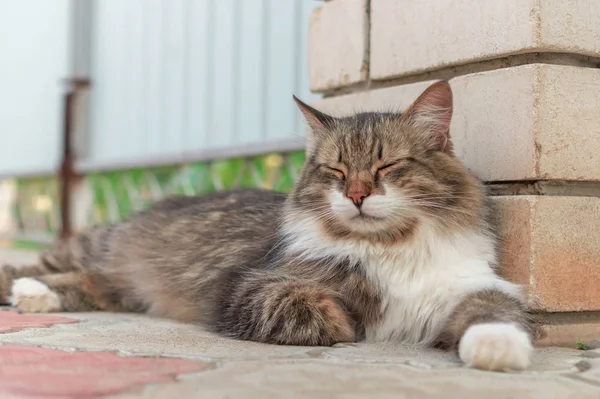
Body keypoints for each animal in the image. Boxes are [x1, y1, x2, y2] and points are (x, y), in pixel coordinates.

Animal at [0, 81, 536, 372]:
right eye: (336, 170)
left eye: (386, 167)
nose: (357, 194)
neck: (391, 247)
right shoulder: (249, 286)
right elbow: (317, 311)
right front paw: (353, 320)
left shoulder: (473, 284)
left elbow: (494, 313)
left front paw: (499, 348)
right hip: (94, 246)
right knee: (38, 266)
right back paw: (26, 289)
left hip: (118, 284)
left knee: (90, 285)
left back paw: (36, 296)